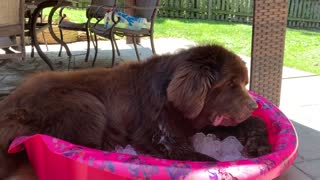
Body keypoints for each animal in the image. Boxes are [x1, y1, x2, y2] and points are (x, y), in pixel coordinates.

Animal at [0, 45, 262, 179]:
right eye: (230, 84)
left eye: (243, 82)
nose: (253, 105)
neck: (169, 99)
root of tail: (9, 105)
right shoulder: (160, 140)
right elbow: (208, 160)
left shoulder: (198, 124)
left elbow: (246, 125)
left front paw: (258, 144)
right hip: (86, 103)